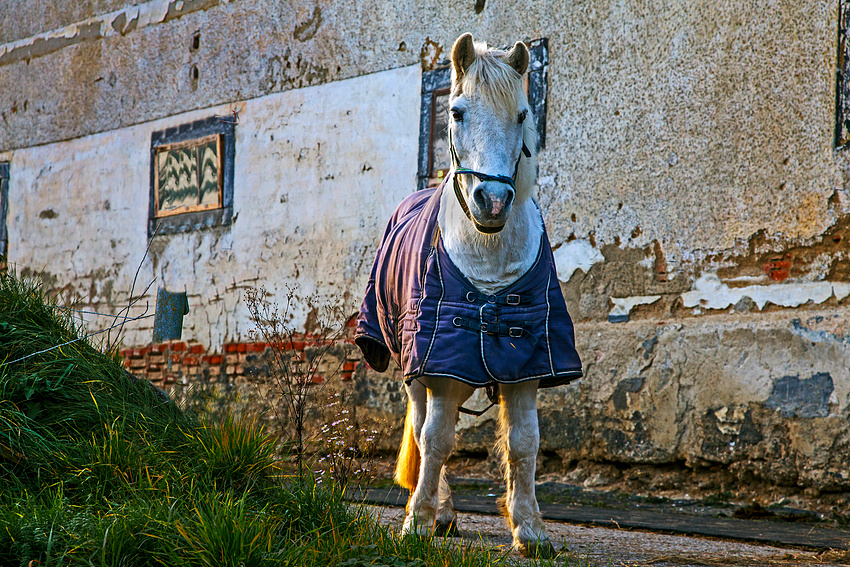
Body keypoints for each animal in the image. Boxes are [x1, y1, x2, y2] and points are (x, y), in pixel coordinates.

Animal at [354, 32, 580, 560]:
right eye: (456, 112)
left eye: (521, 114)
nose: (492, 202)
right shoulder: (439, 362)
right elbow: (436, 440)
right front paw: (417, 523)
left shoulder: (527, 366)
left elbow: (524, 444)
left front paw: (530, 530)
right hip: (416, 371)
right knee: (423, 429)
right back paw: (441, 513)